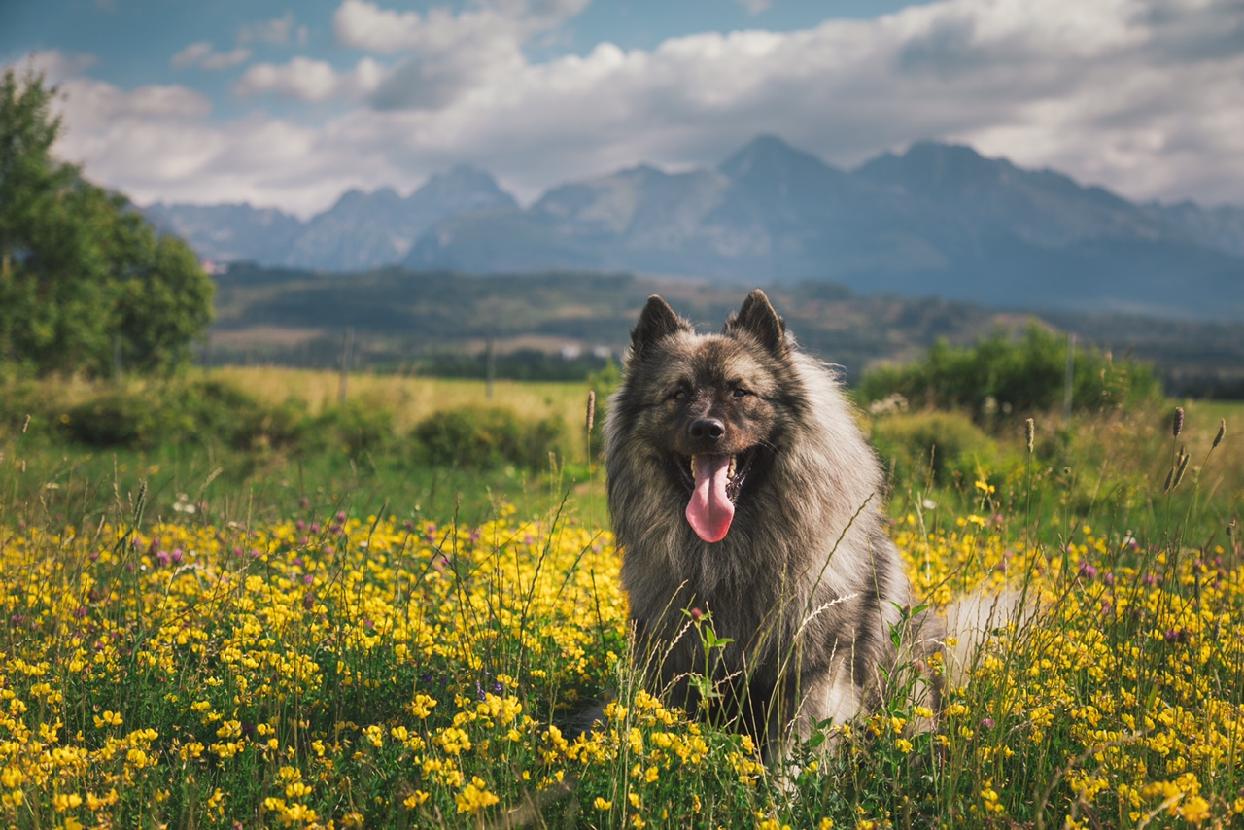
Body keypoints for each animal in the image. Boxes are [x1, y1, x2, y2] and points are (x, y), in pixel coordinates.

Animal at [602, 292, 940, 761]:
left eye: (740, 391)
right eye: (678, 392)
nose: (707, 429)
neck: (728, 559)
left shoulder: (815, 672)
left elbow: (796, 753)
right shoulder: (674, 666)